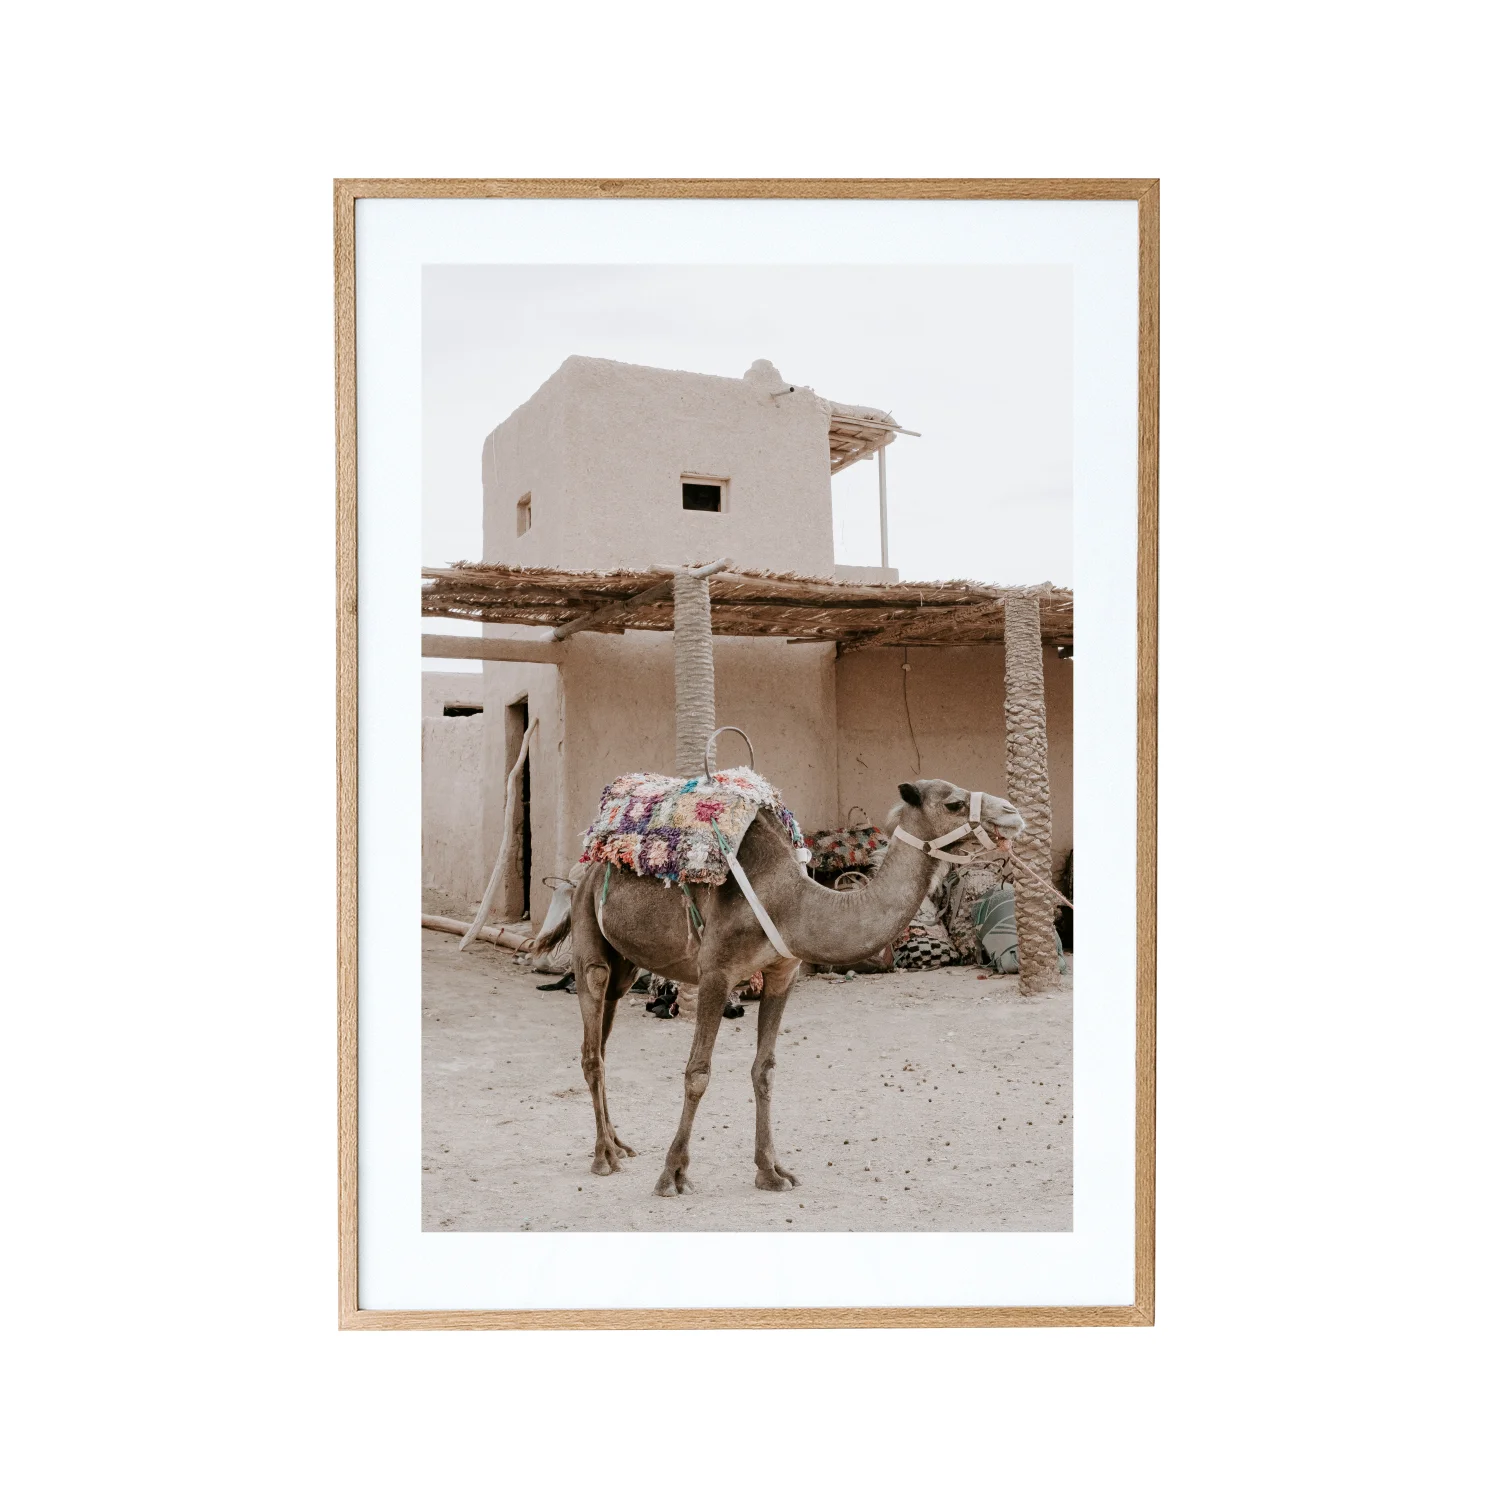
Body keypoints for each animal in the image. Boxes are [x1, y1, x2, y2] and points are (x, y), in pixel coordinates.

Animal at [532, 777, 1025, 1196]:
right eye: (954, 803)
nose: (1013, 813)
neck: (794, 904)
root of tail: (586, 869)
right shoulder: (715, 974)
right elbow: (698, 1073)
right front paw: (673, 1175)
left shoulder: (783, 972)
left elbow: (764, 1070)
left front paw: (771, 1172)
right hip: (589, 936)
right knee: (591, 1044)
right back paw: (604, 1157)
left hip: (627, 965)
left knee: (603, 1038)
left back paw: (619, 1143)